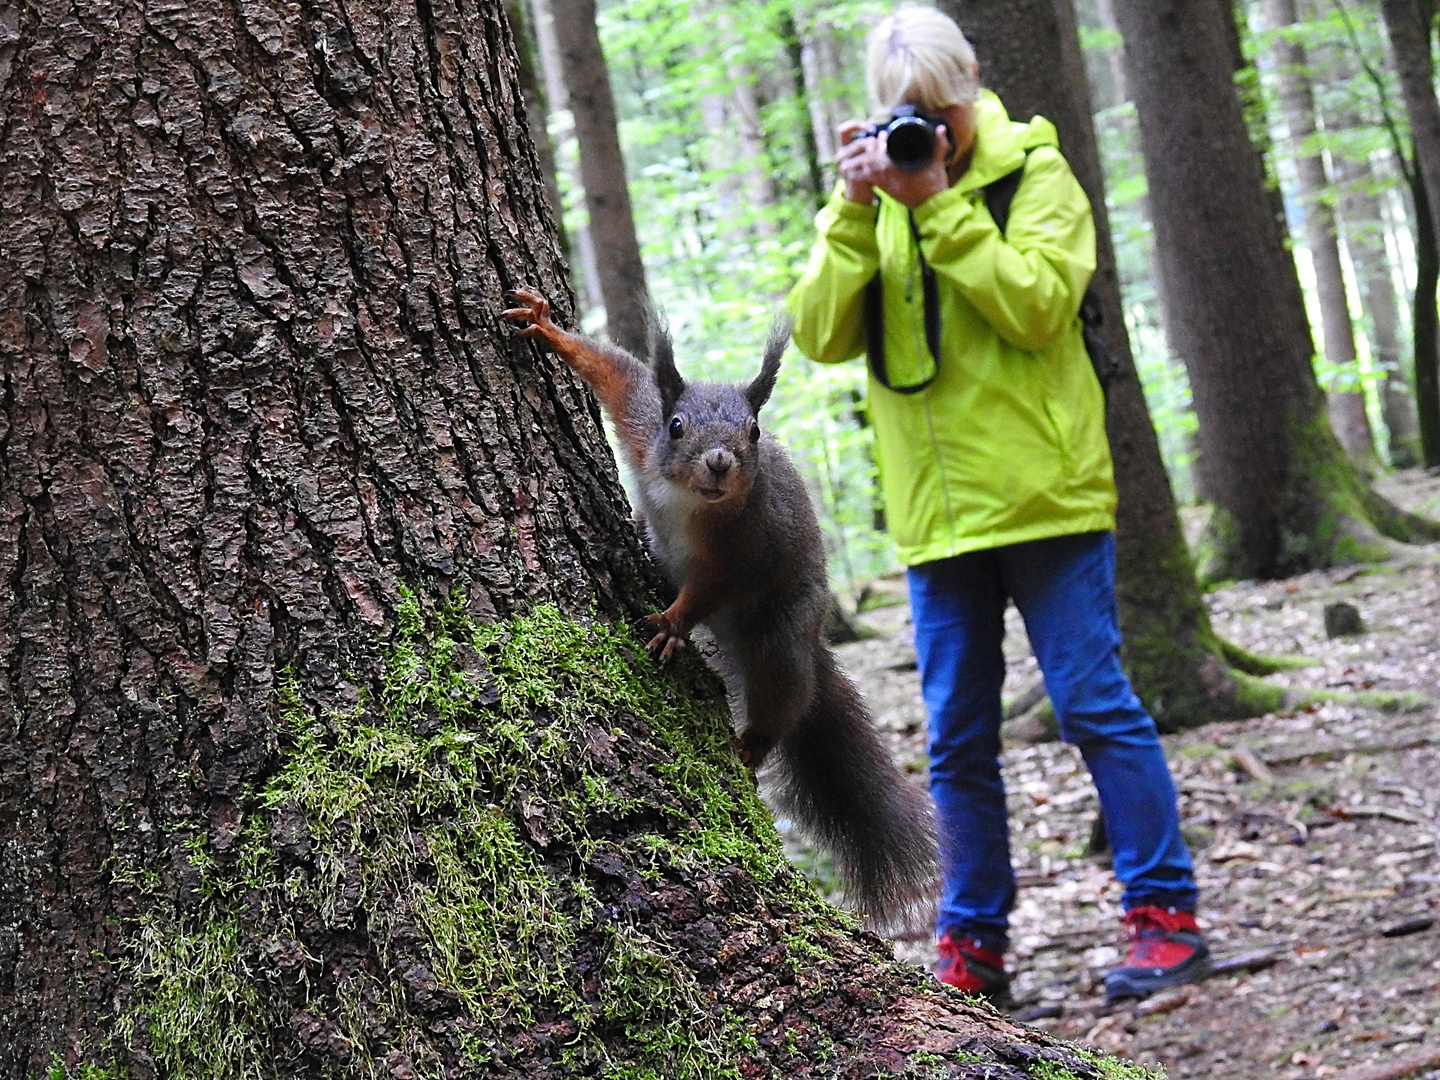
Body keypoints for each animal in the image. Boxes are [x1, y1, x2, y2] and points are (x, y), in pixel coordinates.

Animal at [501, 288, 938, 933]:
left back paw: (753, 743)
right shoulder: (640, 427)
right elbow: (617, 373)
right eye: (676, 425)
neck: (689, 501)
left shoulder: (743, 544)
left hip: (781, 633)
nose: (719, 461)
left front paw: (671, 625)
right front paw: (544, 324)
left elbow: (709, 589)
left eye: (754, 431)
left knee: (789, 694)